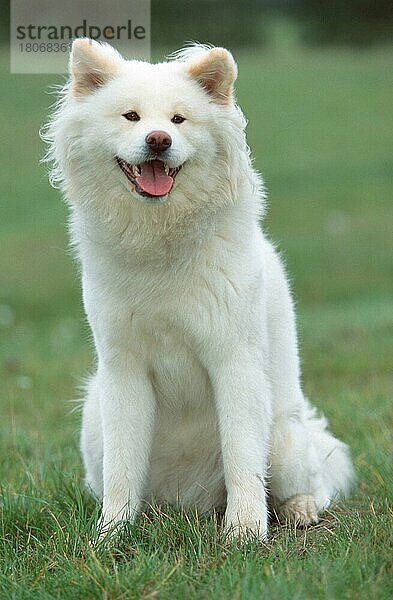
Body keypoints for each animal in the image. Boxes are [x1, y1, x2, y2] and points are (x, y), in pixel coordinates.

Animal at [43, 41, 352, 540]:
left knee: (314, 481)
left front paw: (244, 533)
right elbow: (123, 468)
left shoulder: (234, 360)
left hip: (284, 437)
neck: (161, 240)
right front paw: (111, 534)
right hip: (94, 421)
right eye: (131, 116)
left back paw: (299, 510)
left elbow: (243, 460)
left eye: (178, 120)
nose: (158, 140)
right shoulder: (124, 370)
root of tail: (193, 503)